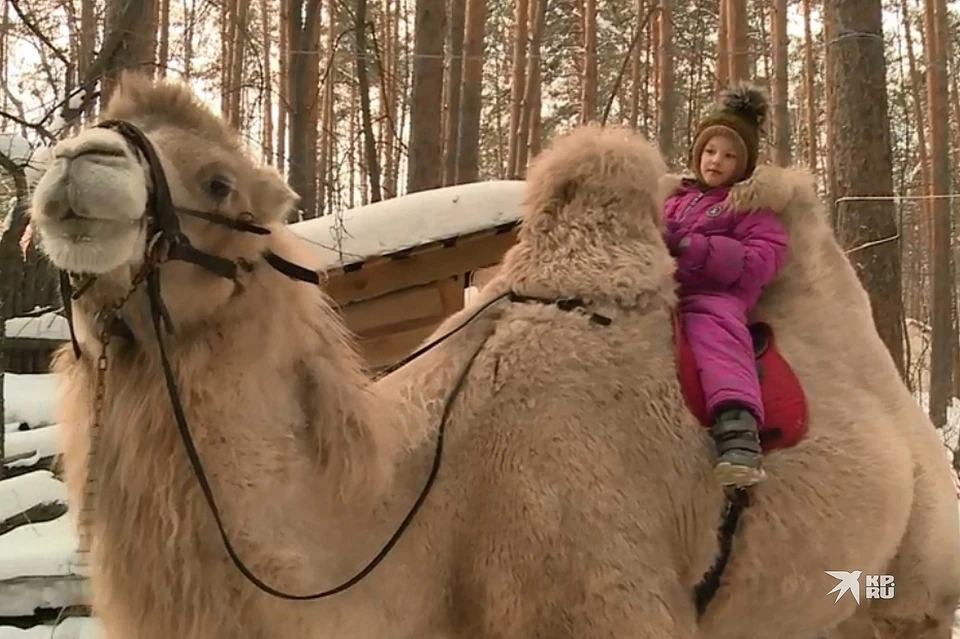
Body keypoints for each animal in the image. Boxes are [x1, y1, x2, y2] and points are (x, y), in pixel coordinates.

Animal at [28, 70, 960, 639]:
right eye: (102, 125)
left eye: (220, 182)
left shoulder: (605, 597)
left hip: (919, 574)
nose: (77, 161)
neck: (423, 503)